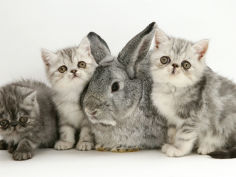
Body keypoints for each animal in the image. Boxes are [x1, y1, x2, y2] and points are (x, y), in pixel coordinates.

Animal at [150, 25, 236, 158]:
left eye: (186, 64)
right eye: (165, 59)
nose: (175, 65)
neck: (172, 89)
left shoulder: (192, 117)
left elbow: (184, 136)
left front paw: (178, 150)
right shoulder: (172, 118)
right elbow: (172, 133)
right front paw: (171, 144)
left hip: (226, 123)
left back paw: (207, 147)